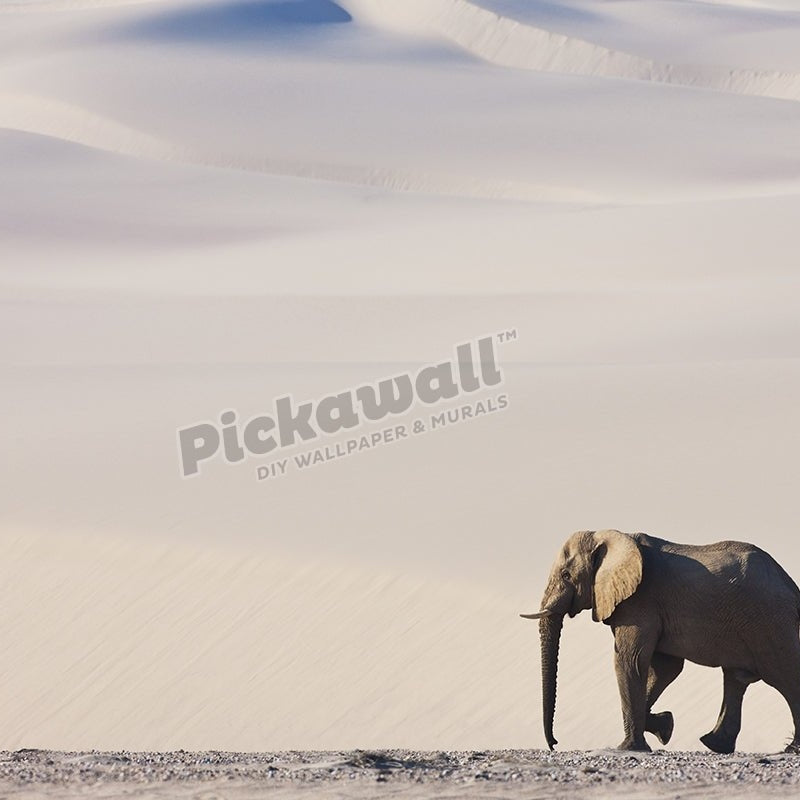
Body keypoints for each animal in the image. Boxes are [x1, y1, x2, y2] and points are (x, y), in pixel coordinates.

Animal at [521, 529, 800, 753]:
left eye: (566, 575)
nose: (554, 744)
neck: (612, 537)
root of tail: (791, 585)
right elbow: (665, 668)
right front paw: (665, 726)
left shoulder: (640, 602)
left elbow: (630, 661)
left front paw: (628, 748)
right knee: (736, 678)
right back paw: (715, 745)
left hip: (770, 623)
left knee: (784, 676)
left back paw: (790, 750)